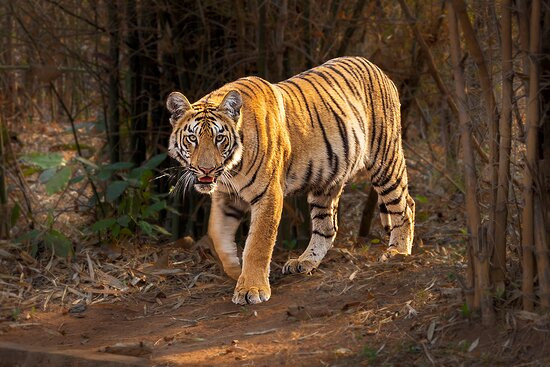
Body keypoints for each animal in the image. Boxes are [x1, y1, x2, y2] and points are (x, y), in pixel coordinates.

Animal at [166, 56, 416, 304]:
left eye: (219, 138)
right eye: (192, 139)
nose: (206, 169)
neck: (232, 168)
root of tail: (377, 68)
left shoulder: (268, 194)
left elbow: (258, 244)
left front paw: (251, 289)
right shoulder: (226, 197)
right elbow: (217, 234)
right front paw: (236, 271)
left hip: (385, 158)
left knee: (405, 206)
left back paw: (398, 252)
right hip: (326, 180)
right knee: (328, 227)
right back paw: (304, 262)